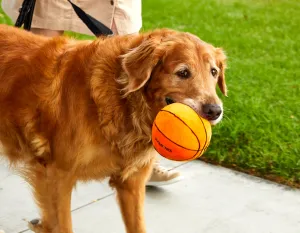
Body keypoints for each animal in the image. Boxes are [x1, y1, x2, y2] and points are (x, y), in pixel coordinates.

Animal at [0, 24, 226, 233]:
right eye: (183, 72)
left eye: (214, 72)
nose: (215, 111)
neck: (126, 101)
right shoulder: (56, 175)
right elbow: (62, 225)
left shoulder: (132, 182)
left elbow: (137, 225)